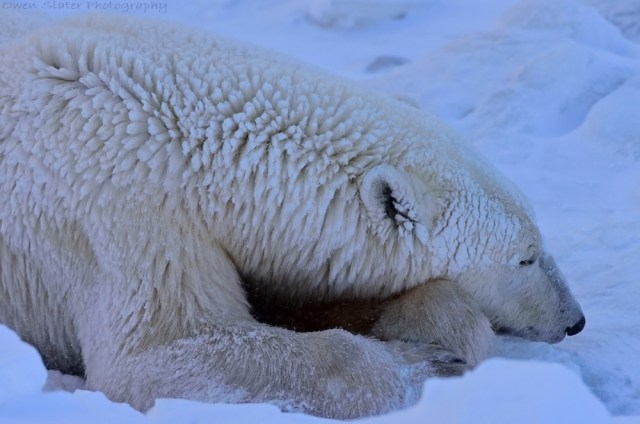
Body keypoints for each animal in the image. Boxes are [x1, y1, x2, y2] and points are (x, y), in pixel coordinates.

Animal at [0, 13, 585, 419]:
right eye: (524, 258)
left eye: (538, 242)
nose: (574, 320)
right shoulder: (122, 220)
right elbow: (157, 353)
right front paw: (425, 360)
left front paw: (425, 324)